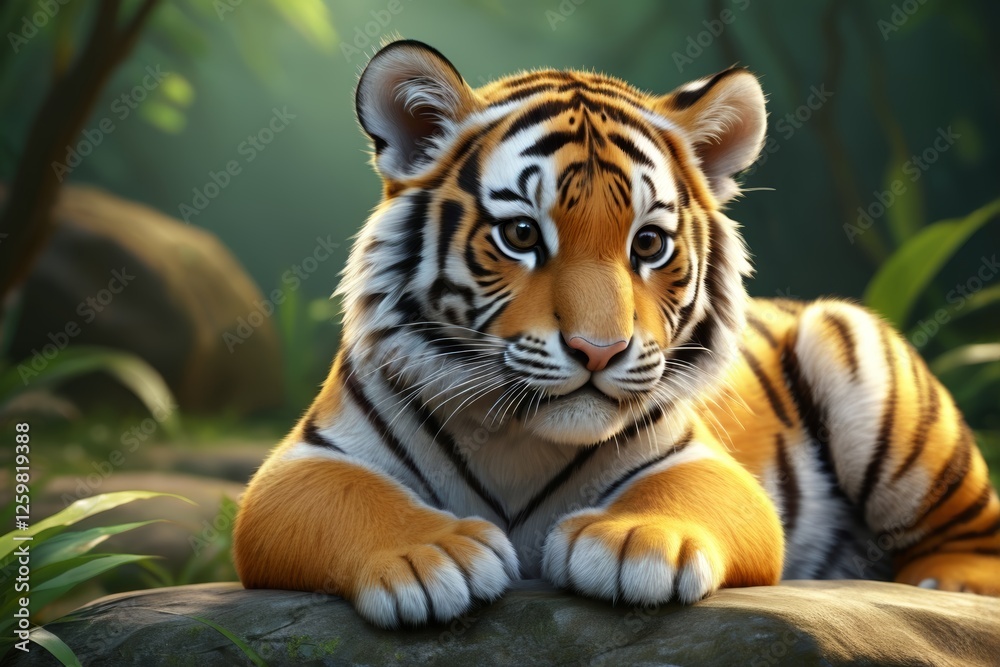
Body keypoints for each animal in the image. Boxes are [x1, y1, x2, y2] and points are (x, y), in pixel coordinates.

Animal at [232, 39, 1000, 628]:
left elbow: (687, 494)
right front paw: (429, 556)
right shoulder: (296, 467)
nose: (599, 350)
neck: (520, 440)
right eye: (520, 235)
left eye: (649, 244)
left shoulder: (706, 461)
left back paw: (950, 582)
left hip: (863, 363)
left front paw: (637, 541)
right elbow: (348, 500)